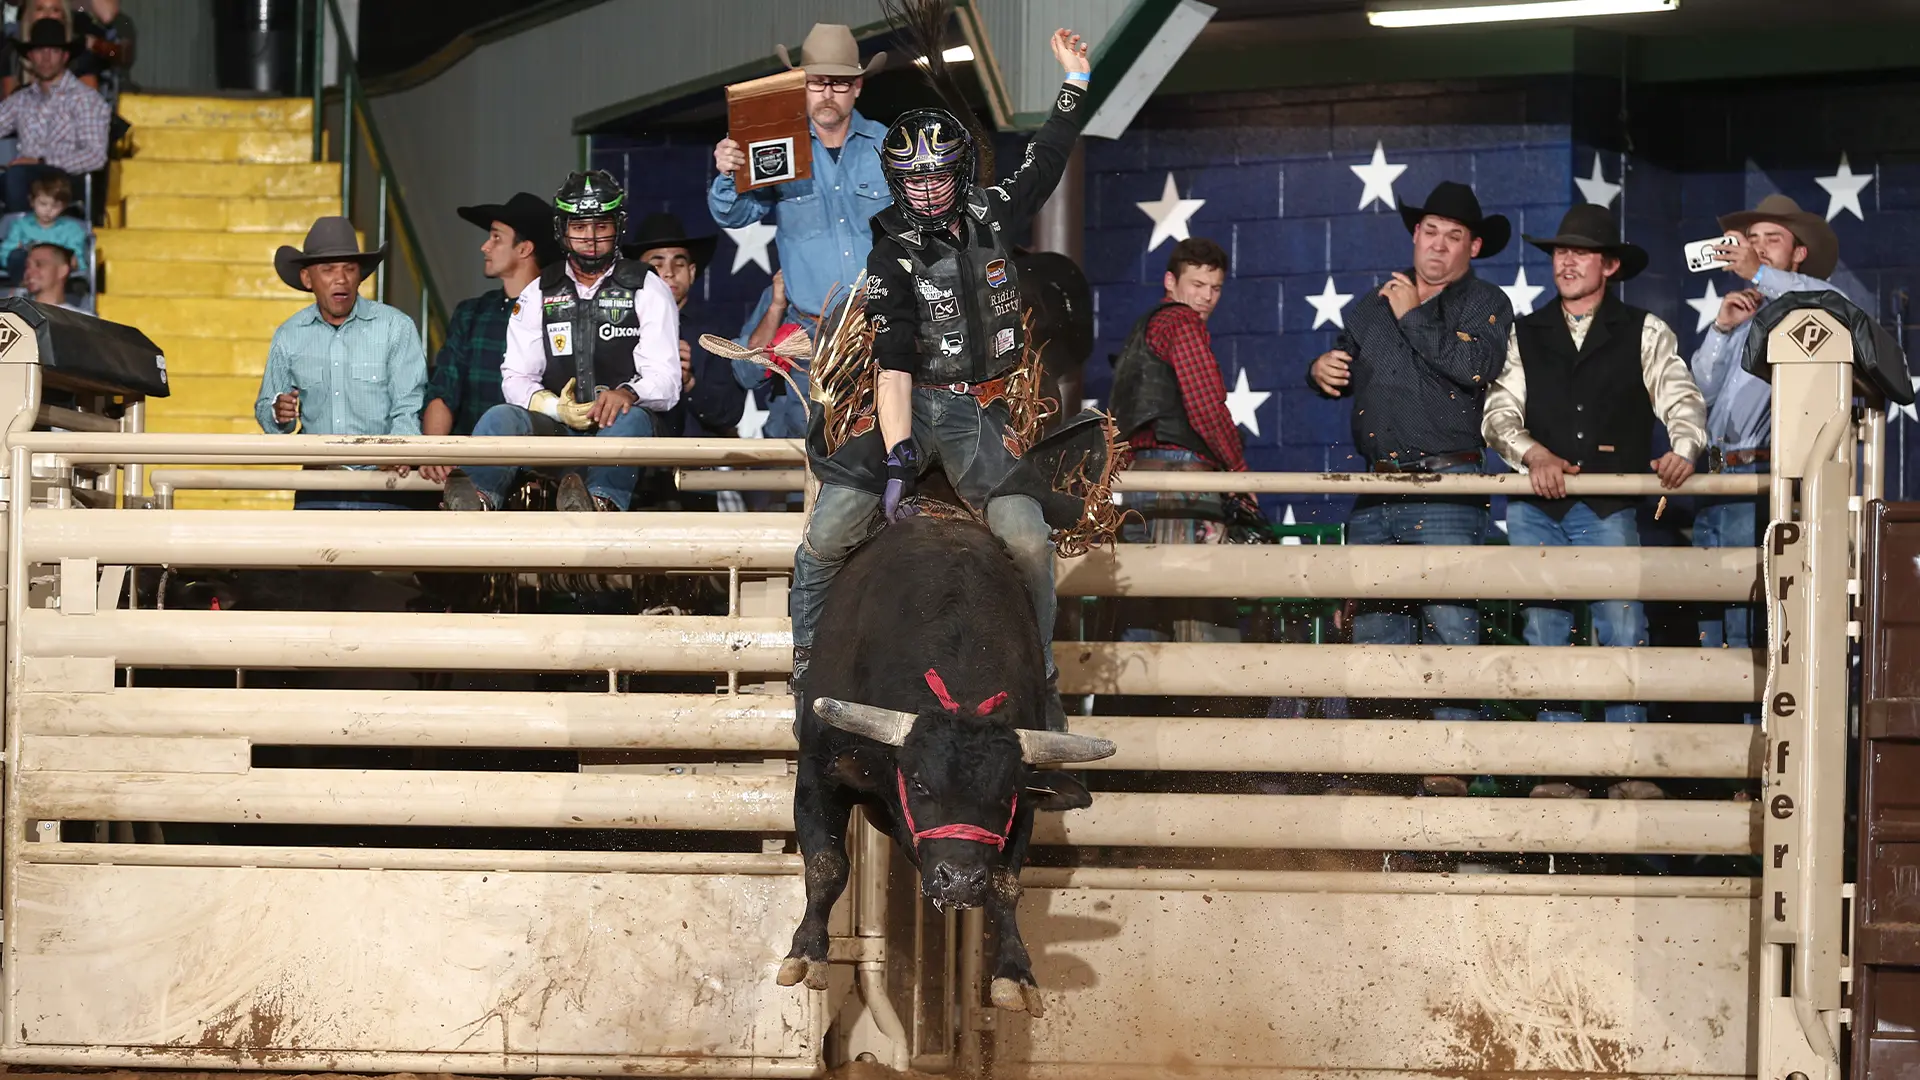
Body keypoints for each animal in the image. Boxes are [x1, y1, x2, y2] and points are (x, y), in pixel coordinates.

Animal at [775, 511, 1113, 1006]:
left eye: (1005, 794)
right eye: (917, 782)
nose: (960, 880)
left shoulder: (1024, 805)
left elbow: (1005, 884)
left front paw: (1015, 974)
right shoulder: (820, 770)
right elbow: (827, 865)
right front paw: (807, 954)